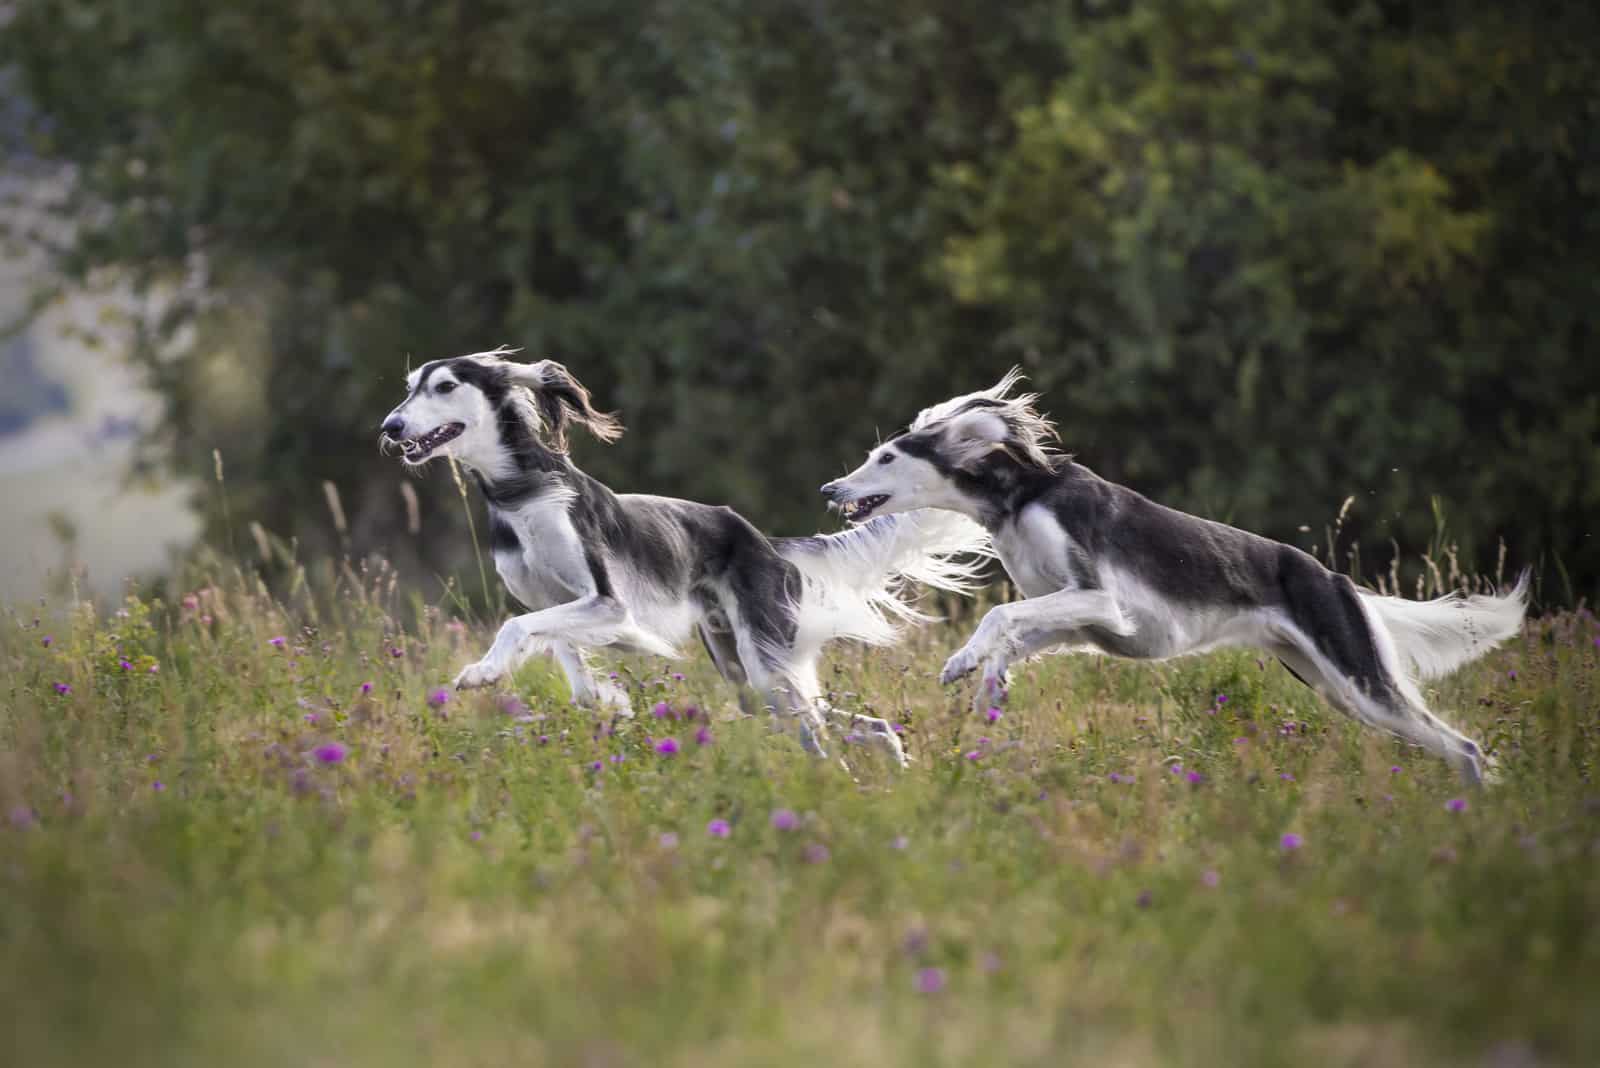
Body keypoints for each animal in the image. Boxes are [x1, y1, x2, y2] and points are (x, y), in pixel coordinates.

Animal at [385, 346, 985, 764]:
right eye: (410, 388)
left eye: (445, 386)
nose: (391, 427)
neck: (522, 492)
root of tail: (766, 544)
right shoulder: (561, 606)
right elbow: (562, 653)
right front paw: (606, 698)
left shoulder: (608, 604)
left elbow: (517, 627)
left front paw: (481, 673)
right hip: (744, 675)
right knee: (855, 724)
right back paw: (889, 759)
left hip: (764, 664)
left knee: (817, 732)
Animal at [819, 369, 1529, 783]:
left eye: (886, 457)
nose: (830, 488)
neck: (1023, 493)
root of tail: (1336, 581)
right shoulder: (1077, 616)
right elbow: (1014, 634)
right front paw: (988, 683)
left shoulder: (1099, 600)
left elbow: (999, 615)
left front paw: (963, 663)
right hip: (1337, 688)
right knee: (1454, 748)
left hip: (1360, 677)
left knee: (1463, 747)